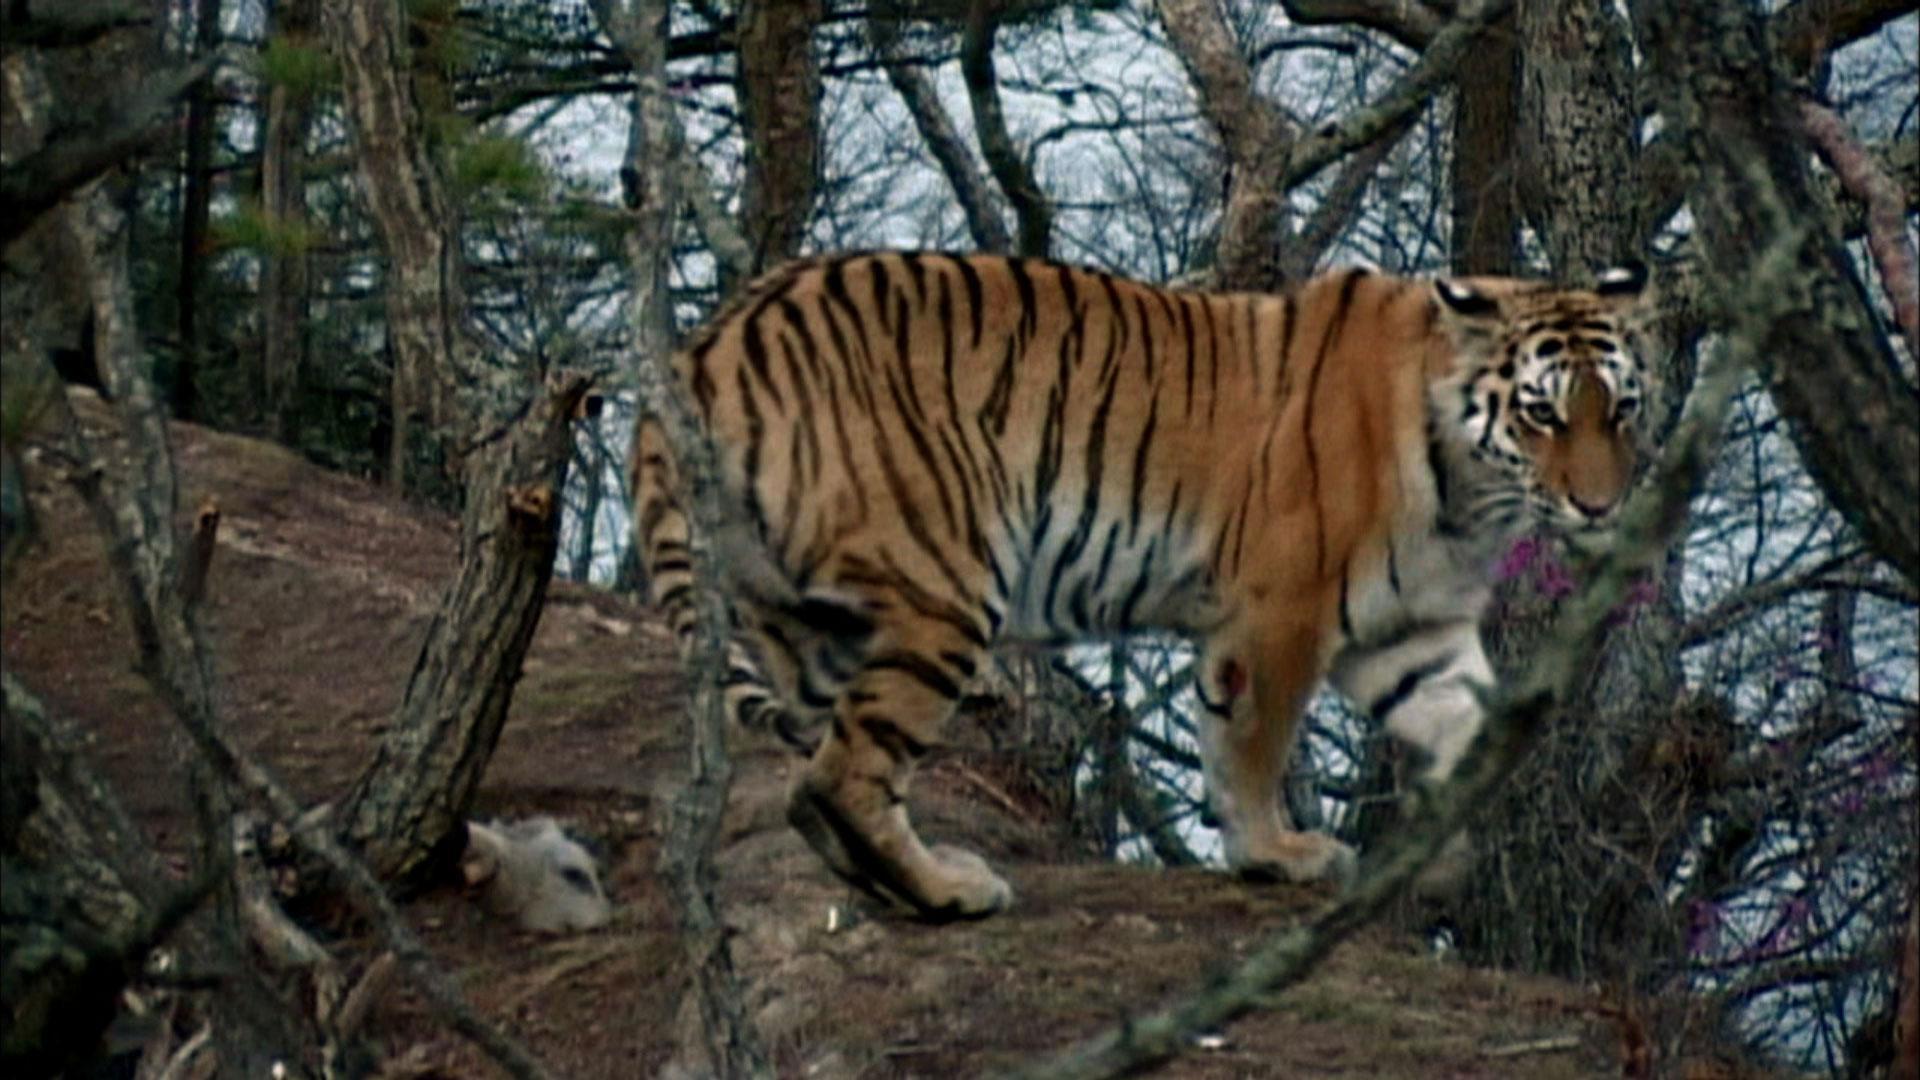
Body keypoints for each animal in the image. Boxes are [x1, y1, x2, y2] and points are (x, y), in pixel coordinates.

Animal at [629, 249, 1651, 914]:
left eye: (1621, 409)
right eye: (1543, 415)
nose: (1603, 506)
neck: (1469, 493)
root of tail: (708, 342)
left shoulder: (1414, 631)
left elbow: (1472, 727)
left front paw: (1437, 861)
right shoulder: (1277, 616)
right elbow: (1250, 747)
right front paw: (1275, 854)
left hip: (811, 622)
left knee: (818, 764)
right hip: (943, 592)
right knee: (838, 779)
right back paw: (953, 890)